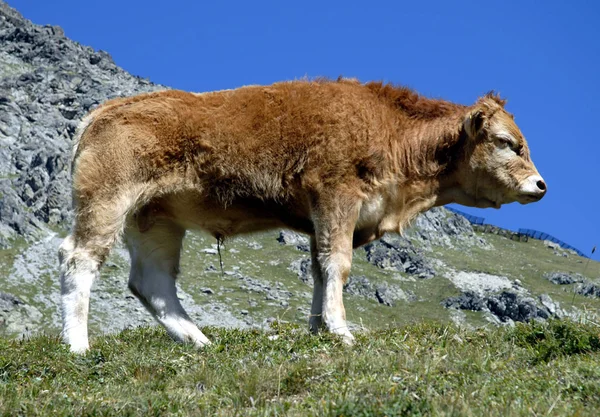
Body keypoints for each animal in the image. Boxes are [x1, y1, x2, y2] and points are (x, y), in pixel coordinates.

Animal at [58, 78, 548, 352]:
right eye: (507, 142)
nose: (541, 185)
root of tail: (103, 111)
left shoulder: (322, 218)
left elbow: (318, 269)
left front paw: (318, 330)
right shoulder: (335, 194)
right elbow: (338, 265)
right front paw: (341, 331)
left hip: (155, 218)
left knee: (152, 282)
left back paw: (199, 341)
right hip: (107, 198)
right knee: (78, 259)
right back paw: (78, 346)